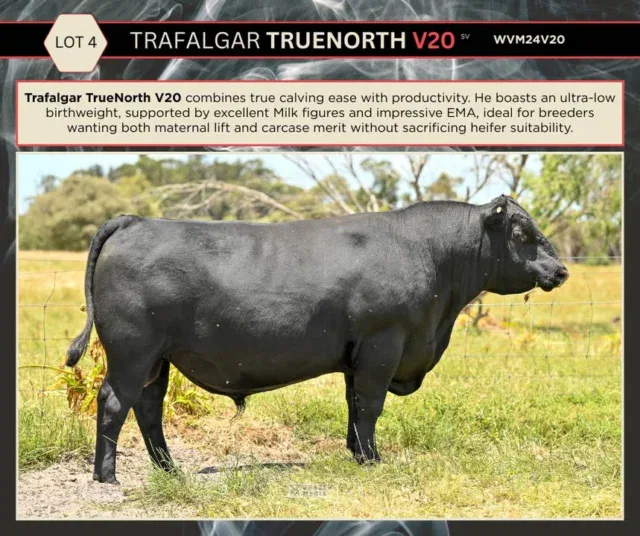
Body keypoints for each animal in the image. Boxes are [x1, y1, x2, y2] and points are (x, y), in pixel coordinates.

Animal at [66, 195, 568, 484]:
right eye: (523, 232)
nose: (561, 270)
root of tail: (136, 220)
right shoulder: (383, 344)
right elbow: (370, 404)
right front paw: (373, 460)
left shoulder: (358, 354)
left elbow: (354, 405)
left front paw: (356, 453)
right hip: (131, 352)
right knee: (115, 401)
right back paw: (107, 478)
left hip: (157, 359)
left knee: (148, 407)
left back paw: (170, 470)